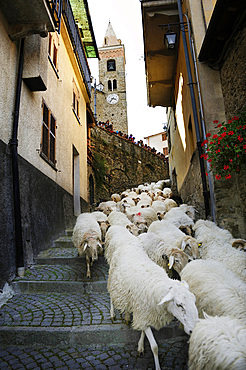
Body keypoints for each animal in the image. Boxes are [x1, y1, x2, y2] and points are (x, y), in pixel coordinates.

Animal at [107, 230, 198, 370]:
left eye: (194, 301)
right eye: (179, 305)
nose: (193, 330)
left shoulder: (145, 314)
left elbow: (143, 332)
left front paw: (140, 346)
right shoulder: (143, 313)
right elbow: (154, 347)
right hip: (113, 281)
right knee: (112, 296)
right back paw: (112, 314)